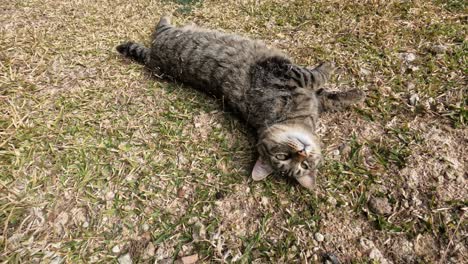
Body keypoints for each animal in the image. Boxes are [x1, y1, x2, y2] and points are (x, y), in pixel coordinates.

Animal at [115, 16, 364, 189]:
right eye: (282, 157)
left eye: (304, 166)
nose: (302, 152)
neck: (294, 115)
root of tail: (153, 59)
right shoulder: (282, 72)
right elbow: (314, 75)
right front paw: (329, 66)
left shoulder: (312, 97)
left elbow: (330, 97)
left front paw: (354, 95)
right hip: (168, 38)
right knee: (161, 28)